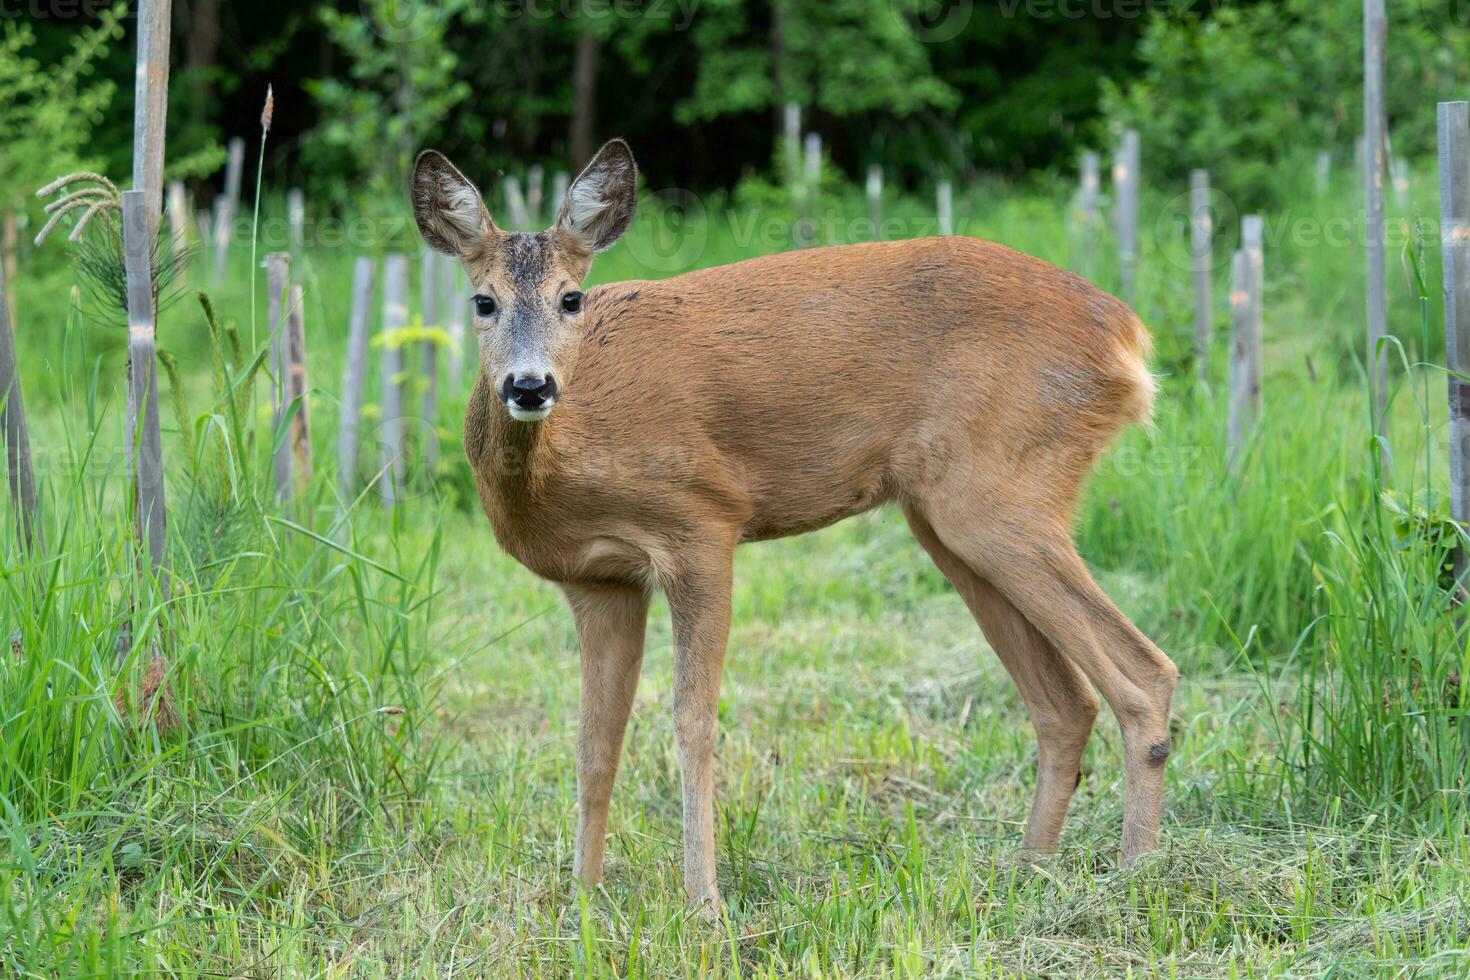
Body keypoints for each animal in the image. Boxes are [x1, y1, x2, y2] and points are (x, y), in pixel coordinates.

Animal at [408, 135, 1176, 910]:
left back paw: (1137, 878)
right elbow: (596, 744)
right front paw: (582, 901)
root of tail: (1129, 336)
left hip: (1000, 493)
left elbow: (692, 723)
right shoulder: (600, 582)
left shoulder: (701, 523)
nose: (530, 385)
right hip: (947, 518)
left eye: (571, 298)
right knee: (1065, 703)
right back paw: (1029, 874)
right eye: (483, 301)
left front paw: (704, 904)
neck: (567, 464)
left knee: (1145, 674)